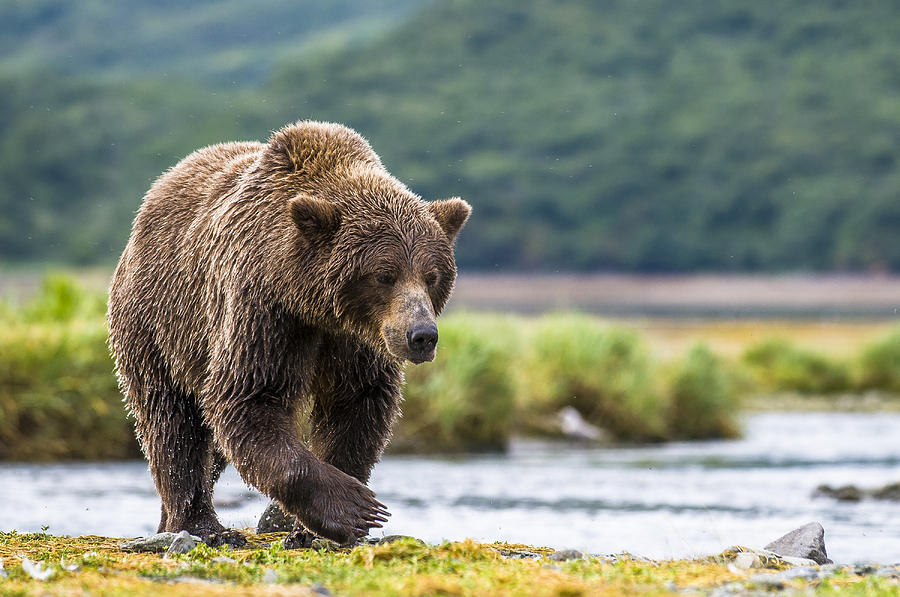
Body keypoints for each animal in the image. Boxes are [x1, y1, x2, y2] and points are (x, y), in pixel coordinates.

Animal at [107, 120, 472, 544]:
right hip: (157, 324)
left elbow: (358, 406)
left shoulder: (357, 343)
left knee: (209, 440)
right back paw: (201, 525)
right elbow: (249, 399)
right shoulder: (265, 311)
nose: (422, 335)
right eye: (384, 275)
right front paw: (352, 509)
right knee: (172, 425)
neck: (312, 302)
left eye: (432, 276)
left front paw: (313, 527)